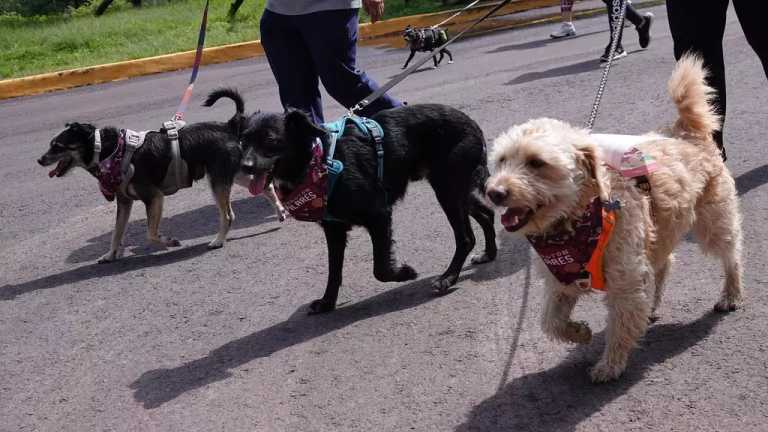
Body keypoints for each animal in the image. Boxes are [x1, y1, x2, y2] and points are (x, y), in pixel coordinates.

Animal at [37, 89, 284, 262]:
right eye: (51, 144)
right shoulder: (124, 202)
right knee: (265, 186)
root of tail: (229, 125)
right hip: (231, 173)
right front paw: (110, 255)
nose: (39, 160)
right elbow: (116, 232)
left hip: (218, 180)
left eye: (57, 146)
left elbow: (151, 233)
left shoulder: (154, 197)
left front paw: (169, 241)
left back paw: (218, 240)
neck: (110, 151)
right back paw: (280, 212)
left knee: (229, 215)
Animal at [224, 103, 498, 316]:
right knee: (487, 214)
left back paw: (448, 278)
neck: (319, 163)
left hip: (448, 189)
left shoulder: (379, 215)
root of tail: (472, 124)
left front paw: (404, 273)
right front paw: (327, 303)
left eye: (270, 140)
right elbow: (334, 271)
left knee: (465, 237)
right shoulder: (334, 229)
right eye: (243, 141)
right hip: (456, 190)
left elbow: (380, 268)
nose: (244, 166)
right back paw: (489, 253)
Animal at [486, 55, 744, 384]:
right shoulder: (562, 281)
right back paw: (653, 304)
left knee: (731, 255)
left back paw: (732, 294)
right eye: (502, 160)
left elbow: (620, 327)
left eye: (536, 163)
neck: (579, 220)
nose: (494, 193)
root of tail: (688, 131)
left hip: (713, 222)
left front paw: (610, 364)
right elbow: (550, 321)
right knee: (665, 263)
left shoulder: (625, 281)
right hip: (659, 231)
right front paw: (579, 333)